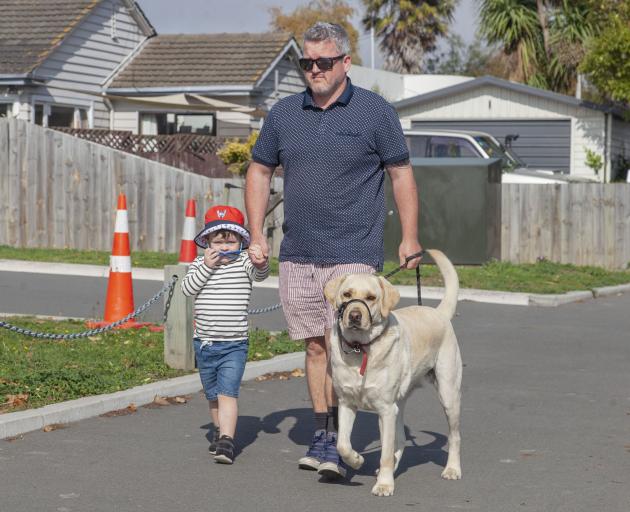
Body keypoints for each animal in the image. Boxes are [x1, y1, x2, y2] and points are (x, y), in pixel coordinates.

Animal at [326, 248, 464, 496]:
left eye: (371, 297)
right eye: (347, 294)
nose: (354, 316)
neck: (361, 349)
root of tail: (438, 313)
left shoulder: (385, 409)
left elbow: (385, 454)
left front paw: (384, 484)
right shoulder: (346, 403)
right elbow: (342, 444)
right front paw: (356, 461)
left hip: (448, 395)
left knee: (454, 436)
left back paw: (452, 469)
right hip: (399, 405)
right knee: (400, 440)